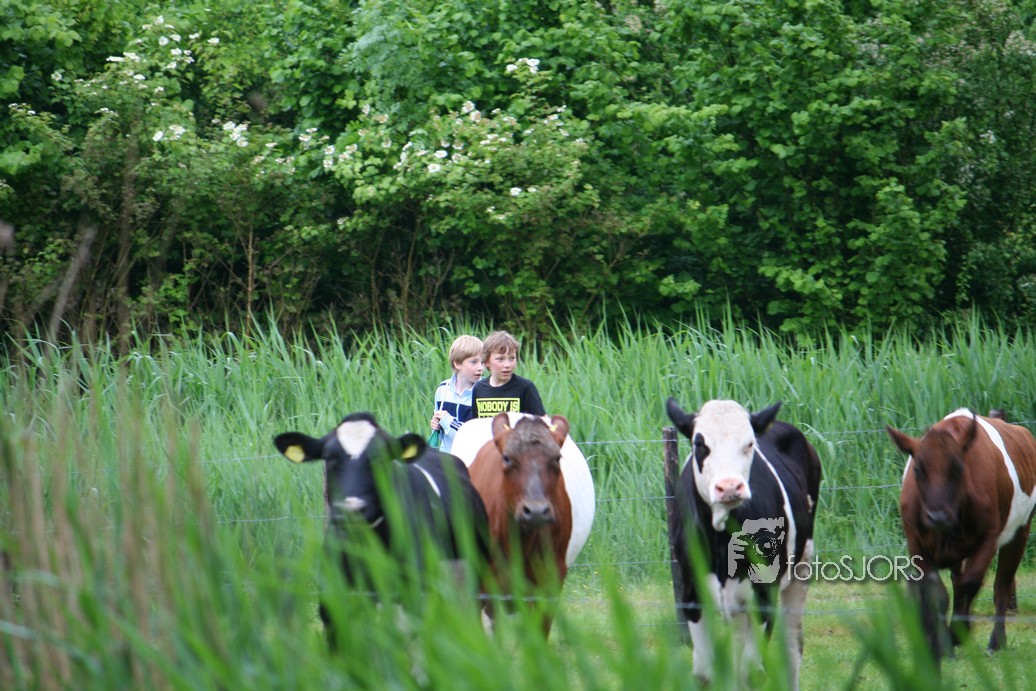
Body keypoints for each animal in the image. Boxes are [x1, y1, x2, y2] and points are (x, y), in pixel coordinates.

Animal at [666, 398, 821, 689]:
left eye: (749, 444)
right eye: (699, 444)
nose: (729, 487)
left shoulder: (764, 596)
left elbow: (753, 672)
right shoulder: (692, 595)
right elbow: (705, 673)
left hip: (801, 567)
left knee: (792, 648)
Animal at [887, 408, 1036, 662]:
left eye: (957, 469)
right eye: (917, 470)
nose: (937, 516)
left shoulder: (988, 538)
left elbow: (972, 584)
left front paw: (957, 633)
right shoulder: (916, 542)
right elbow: (937, 594)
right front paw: (941, 645)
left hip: (1019, 533)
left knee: (1002, 586)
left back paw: (996, 642)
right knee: (959, 581)